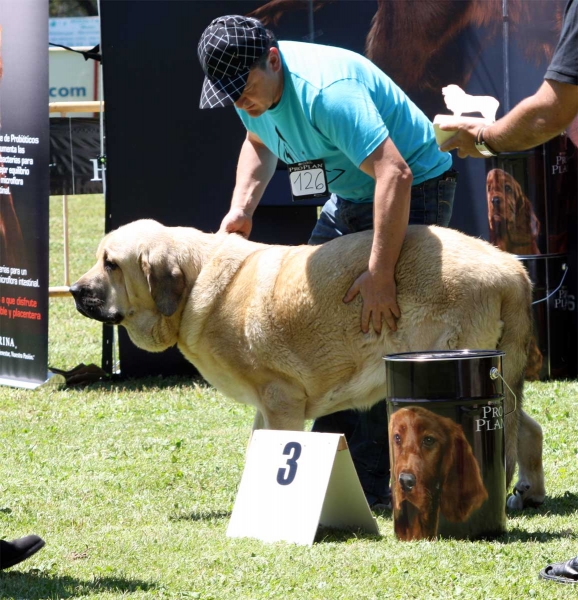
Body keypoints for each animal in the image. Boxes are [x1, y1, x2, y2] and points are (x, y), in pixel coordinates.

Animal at [70, 218, 544, 508]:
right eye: (100, 259)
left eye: (111, 264)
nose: (74, 290)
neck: (194, 282)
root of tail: (512, 270)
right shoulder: (265, 406)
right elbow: (257, 447)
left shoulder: (280, 398)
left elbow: (281, 447)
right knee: (527, 428)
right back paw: (529, 492)